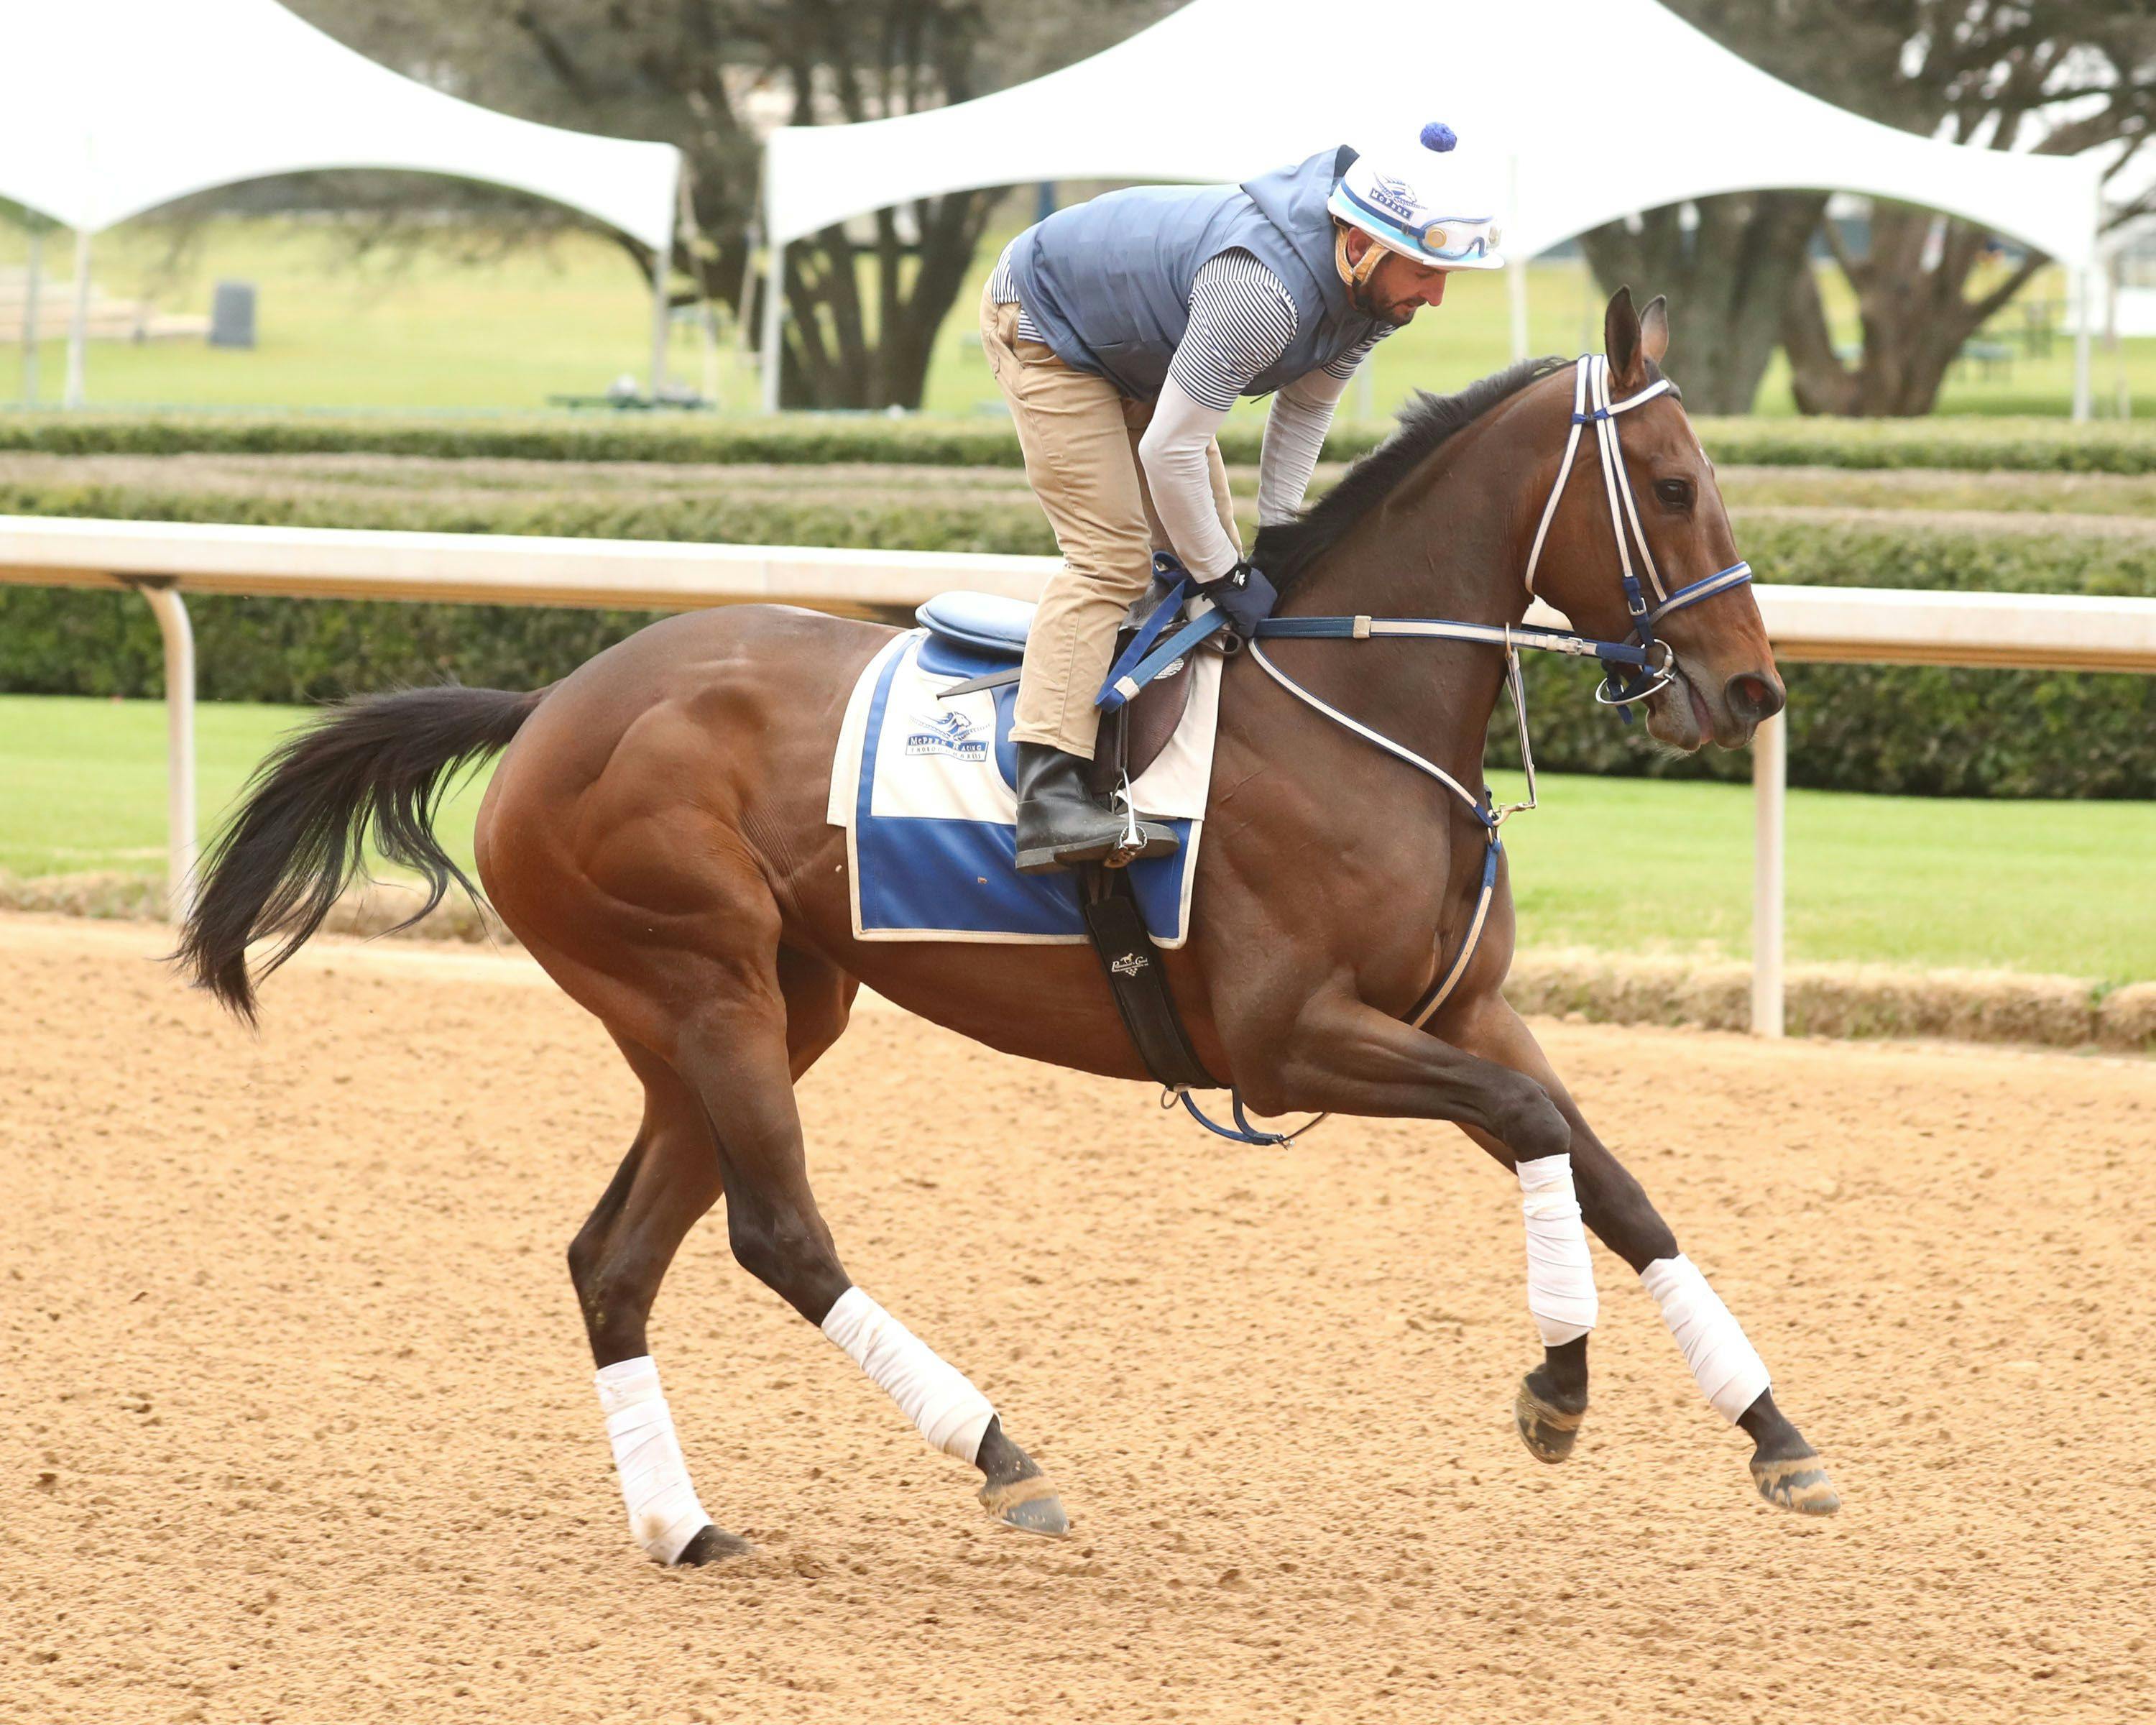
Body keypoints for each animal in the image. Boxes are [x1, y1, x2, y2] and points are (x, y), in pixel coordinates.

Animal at [181, 293, 1837, 1561]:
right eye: (1675, 484)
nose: (1752, 688)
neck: (1349, 709)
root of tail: (547, 708)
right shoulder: (1292, 1042)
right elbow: (1535, 1130)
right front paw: (1558, 1386)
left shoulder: (1460, 1010)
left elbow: (1611, 1176)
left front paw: (1775, 1431)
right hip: (700, 984)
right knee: (779, 1234)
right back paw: (999, 1456)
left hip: (754, 1007)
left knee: (613, 1259)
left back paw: (682, 1525)